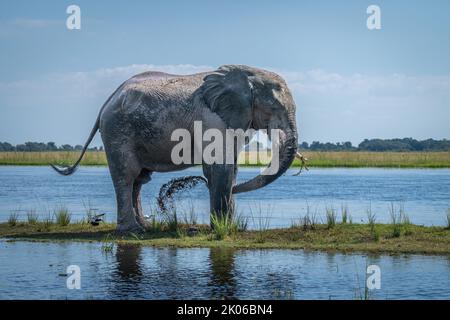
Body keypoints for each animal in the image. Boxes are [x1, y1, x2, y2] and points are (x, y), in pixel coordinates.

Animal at [51, 65, 298, 234]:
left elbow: (230, 169)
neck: (245, 74)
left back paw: (145, 225)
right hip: (117, 131)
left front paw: (228, 226)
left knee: (139, 179)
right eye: (274, 107)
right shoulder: (212, 119)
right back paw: (132, 231)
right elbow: (221, 168)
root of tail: (108, 100)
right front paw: (222, 228)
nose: (199, 182)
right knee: (126, 175)